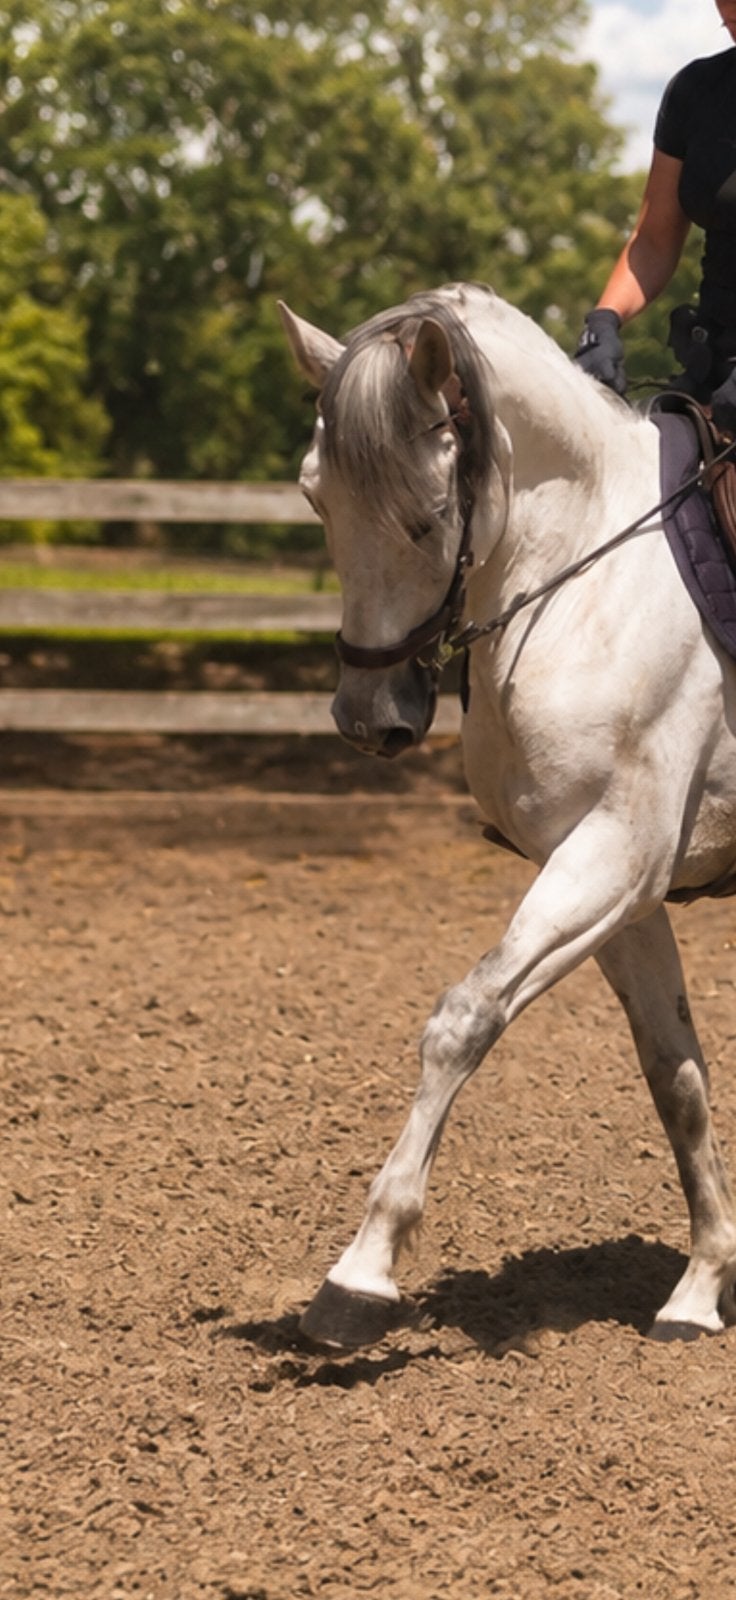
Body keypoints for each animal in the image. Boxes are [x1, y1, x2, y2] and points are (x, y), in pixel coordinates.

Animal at [278, 281, 736, 1348]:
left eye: (428, 515)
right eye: (316, 496)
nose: (368, 718)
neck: (586, 584)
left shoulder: (611, 858)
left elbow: (466, 1016)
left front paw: (361, 1272)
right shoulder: (624, 888)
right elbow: (676, 1075)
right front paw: (701, 1286)